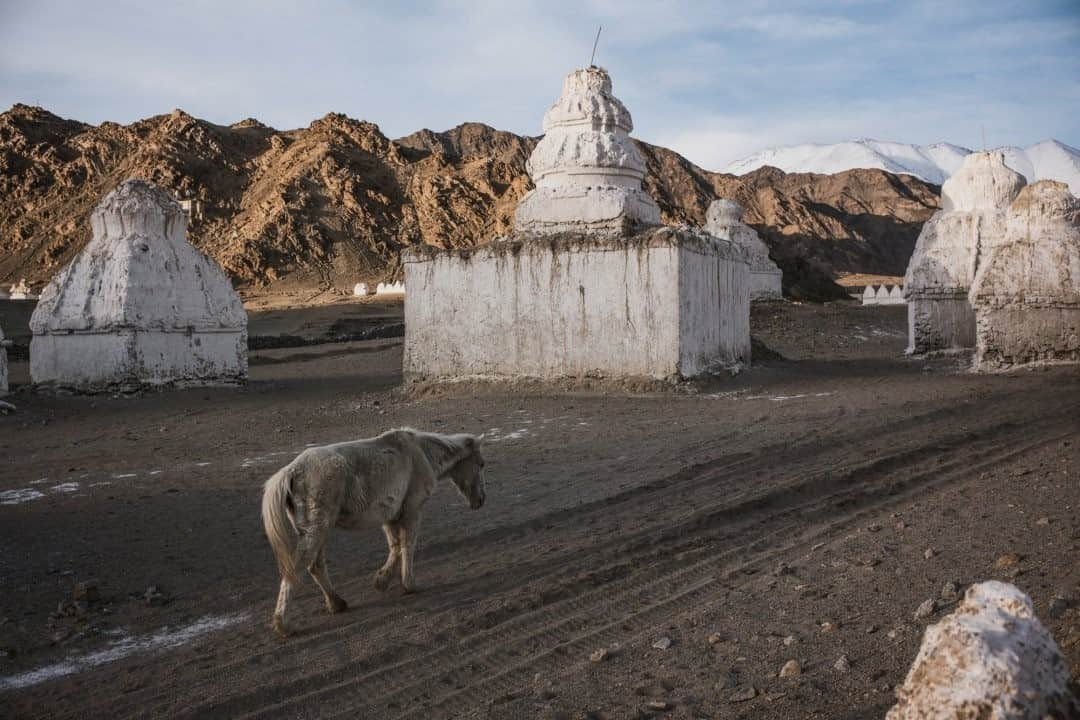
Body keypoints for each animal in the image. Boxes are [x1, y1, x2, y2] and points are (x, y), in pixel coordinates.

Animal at [261, 427, 486, 634]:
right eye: (481, 463)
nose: (480, 501)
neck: (420, 452)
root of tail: (292, 471)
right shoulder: (412, 511)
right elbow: (408, 544)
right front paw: (409, 584)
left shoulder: (389, 515)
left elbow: (395, 547)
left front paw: (381, 581)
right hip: (316, 531)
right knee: (297, 568)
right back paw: (283, 623)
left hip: (317, 531)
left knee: (315, 566)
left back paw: (337, 603)